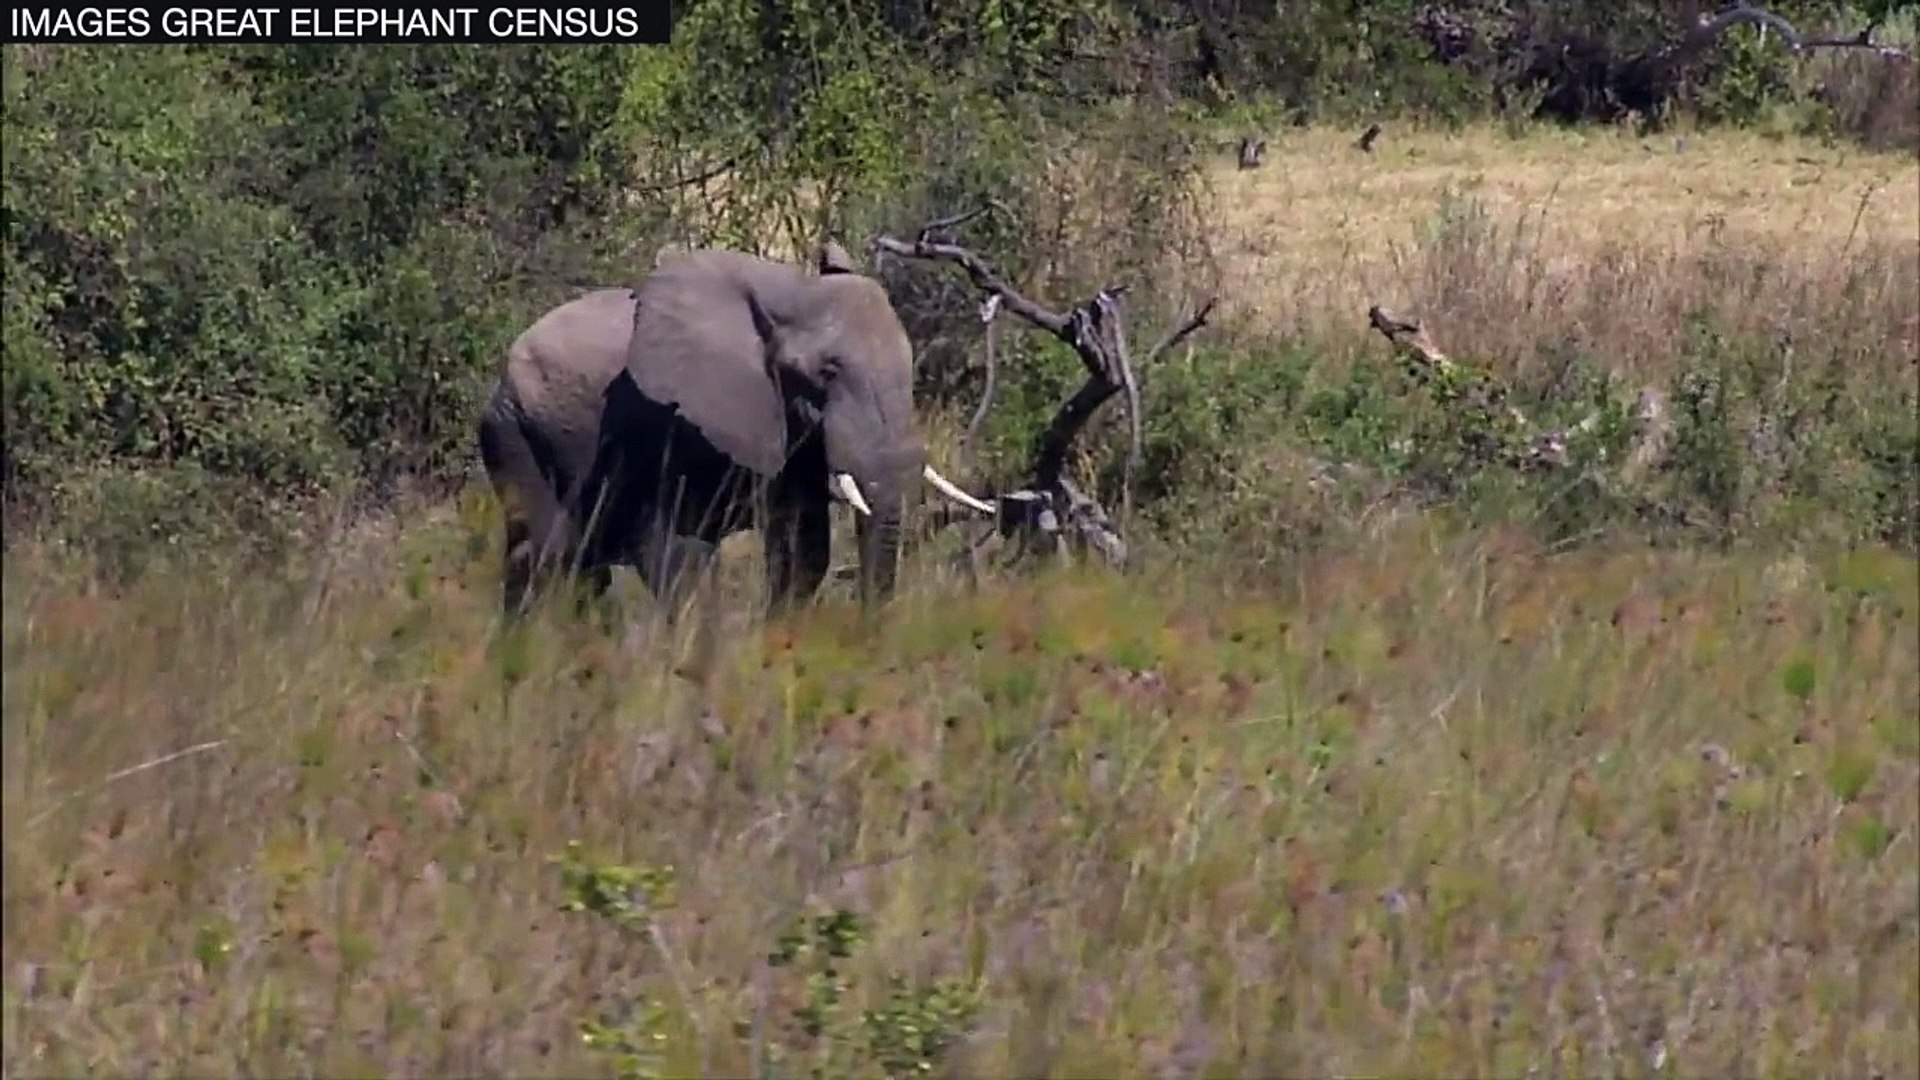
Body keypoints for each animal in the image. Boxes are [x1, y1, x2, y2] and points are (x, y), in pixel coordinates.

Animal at [476, 243, 994, 621]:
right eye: (826, 373)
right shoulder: (668, 421)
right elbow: (680, 558)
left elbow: (803, 548)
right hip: (517, 433)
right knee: (549, 559)